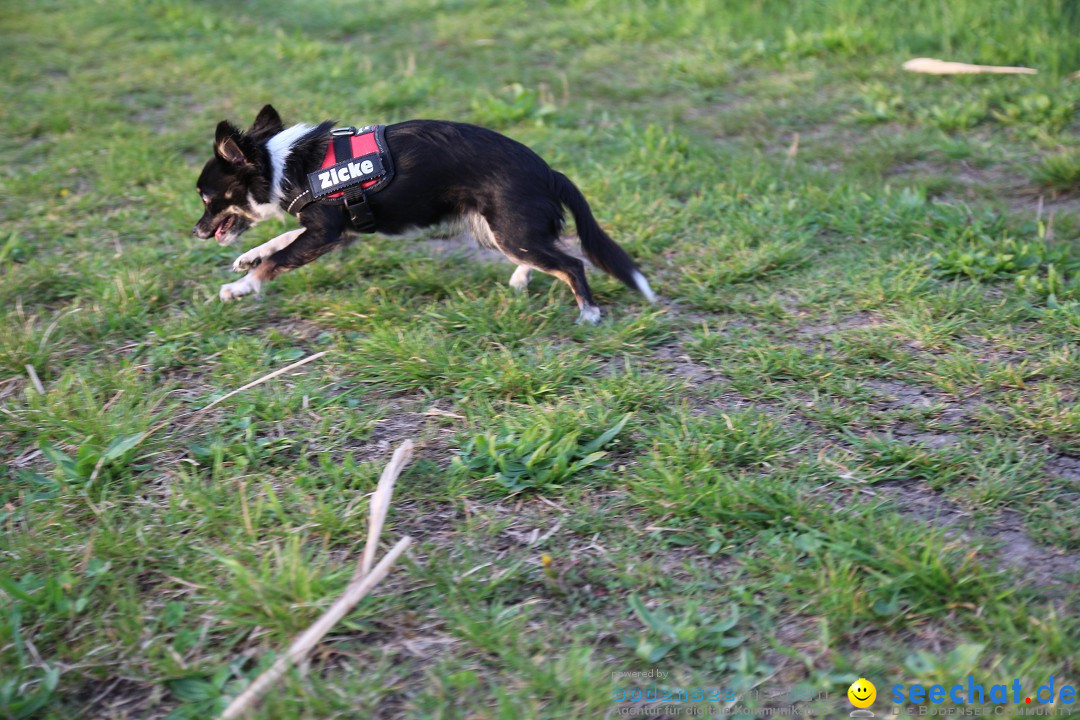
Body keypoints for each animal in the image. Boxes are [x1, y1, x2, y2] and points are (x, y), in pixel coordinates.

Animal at [190, 104, 652, 323]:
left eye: (205, 199)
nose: (196, 231)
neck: (281, 164)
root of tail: (551, 173)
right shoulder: (336, 232)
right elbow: (280, 242)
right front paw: (248, 257)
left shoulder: (324, 233)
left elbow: (278, 260)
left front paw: (243, 287)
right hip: (504, 231)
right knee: (545, 256)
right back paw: (522, 278)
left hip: (509, 229)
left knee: (571, 263)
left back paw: (588, 313)